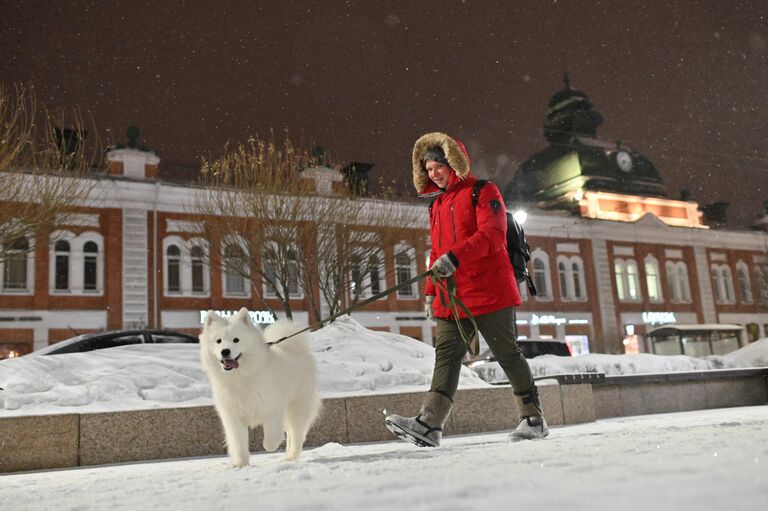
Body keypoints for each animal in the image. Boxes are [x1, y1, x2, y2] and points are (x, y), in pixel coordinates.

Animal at [201, 308, 320, 468]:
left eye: (236, 340)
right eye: (218, 341)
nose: (225, 351)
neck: (241, 377)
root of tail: (297, 349)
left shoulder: (271, 408)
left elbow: (271, 438)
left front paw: (270, 446)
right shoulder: (233, 416)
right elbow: (238, 443)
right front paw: (240, 464)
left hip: (296, 406)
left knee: (297, 434)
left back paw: (291, 457)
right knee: (291, 433)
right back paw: (287, 456)